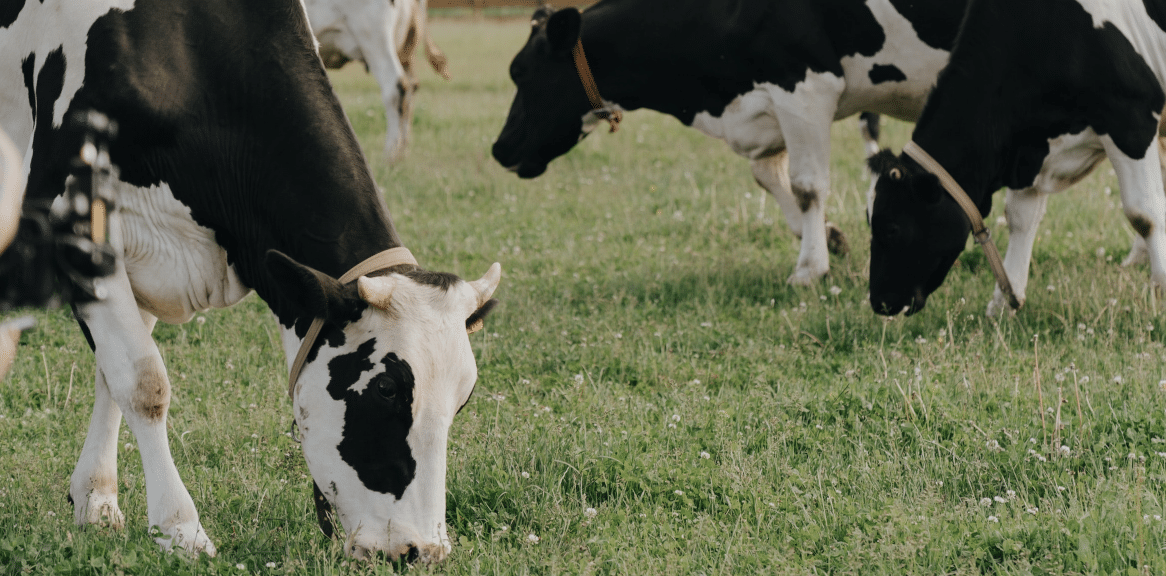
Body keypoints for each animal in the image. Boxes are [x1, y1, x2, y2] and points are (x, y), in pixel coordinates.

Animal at [306, 0, 452, 162]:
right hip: (406, 48)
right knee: (411, 88)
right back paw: (402, 152)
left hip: (374, 38)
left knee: (396, 87)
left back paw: (390, 154)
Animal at [492, 0, 968, 285]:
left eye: (520, 72)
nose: (500, 149)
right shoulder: (764, 105)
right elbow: (767, 177)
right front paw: (828, 236)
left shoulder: (805, 85)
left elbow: (807, 185)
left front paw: (809, 268)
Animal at [866, 0, 1166, 316]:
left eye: (892, 228)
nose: (878, 301)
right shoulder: (1028, 151)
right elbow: (1020, 217)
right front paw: (1004, 301)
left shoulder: (1131, 118)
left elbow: (1143, 213)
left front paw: (1162, 286)